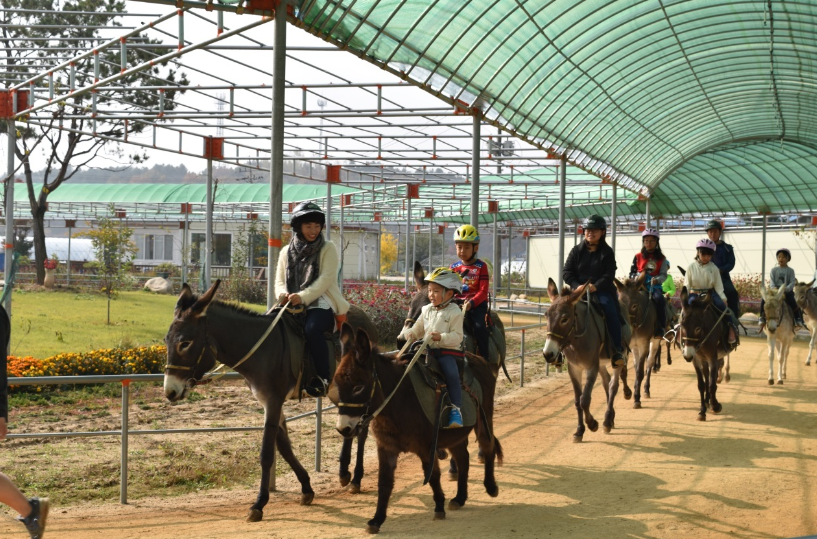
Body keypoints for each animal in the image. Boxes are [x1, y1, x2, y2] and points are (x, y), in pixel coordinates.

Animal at [163, 280, 377, 521]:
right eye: (166, 341)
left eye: (185, 343)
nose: (170, 391)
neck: (261, 349)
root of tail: (364, 318)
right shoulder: (269, 403)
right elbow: (284, 447)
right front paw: (306, 488)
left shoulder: (274, 401)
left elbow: (267, 453)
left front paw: (259, 503)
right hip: (340, 391)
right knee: (351, 427)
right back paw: (344, 473)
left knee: (363, 428)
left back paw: (356, 478)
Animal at [329, 323, 502, 534]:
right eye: (338, 385)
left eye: (358, 387)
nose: (343, 429)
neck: (398, 402)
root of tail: (479, 360)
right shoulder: (386, 448)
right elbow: (384, 483)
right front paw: (377, 520)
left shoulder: (427, 447)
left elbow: (433, 475)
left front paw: (438, 507)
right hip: (455, 435)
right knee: (463, 458)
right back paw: (460, 498)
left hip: (483, 420)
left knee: (488, 447)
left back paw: (491, 487)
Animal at [542, 279, 628, 442]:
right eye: (546, 316)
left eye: (565, 319)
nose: (548, 354)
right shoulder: (574, 369)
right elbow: (577, 401)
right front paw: (579, 430)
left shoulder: (591, 367)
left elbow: (585, 399)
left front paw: (592, 424)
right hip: (601, 363)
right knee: (606, 382)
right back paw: (611, 418)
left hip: (619, 358)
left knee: (613, 386)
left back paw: (607, 421)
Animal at [615, 272, 664, 408]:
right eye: (619, 303)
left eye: (634, 305)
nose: (622, 326)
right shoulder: (628, 346)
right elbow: (628, 370)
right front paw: (630, 393)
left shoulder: (644, 345)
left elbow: (640, 372)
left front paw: (637, 398)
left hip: (654, 342)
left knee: (649, 364)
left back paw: (646, 389)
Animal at [679, 287, 731, 420]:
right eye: (682, 326)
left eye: (698, 328)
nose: (687, 356)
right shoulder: (696, 359)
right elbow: (701, 384)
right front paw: (702, 411)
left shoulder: (712, 357)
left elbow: (712, 384)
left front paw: (716, 406)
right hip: (703, 359)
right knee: (707, 376)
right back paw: (707, 401)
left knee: (716, 372)